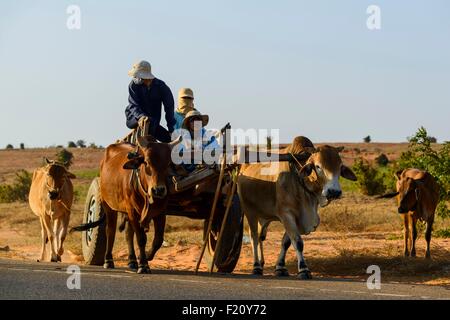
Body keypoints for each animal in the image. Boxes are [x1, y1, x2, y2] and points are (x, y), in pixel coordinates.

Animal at [237, 139, 356, 278]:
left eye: (340, 167)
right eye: (318, 166)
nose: (334, 192)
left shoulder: (298, 218)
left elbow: (286, 242)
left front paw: (281, 267)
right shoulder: (287, 214)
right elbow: (298, 242)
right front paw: (304, 269)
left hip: (263, 216)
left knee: (261, 237)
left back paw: (261, 263)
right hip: (250, 212)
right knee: (254, 237)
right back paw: (256, 266)